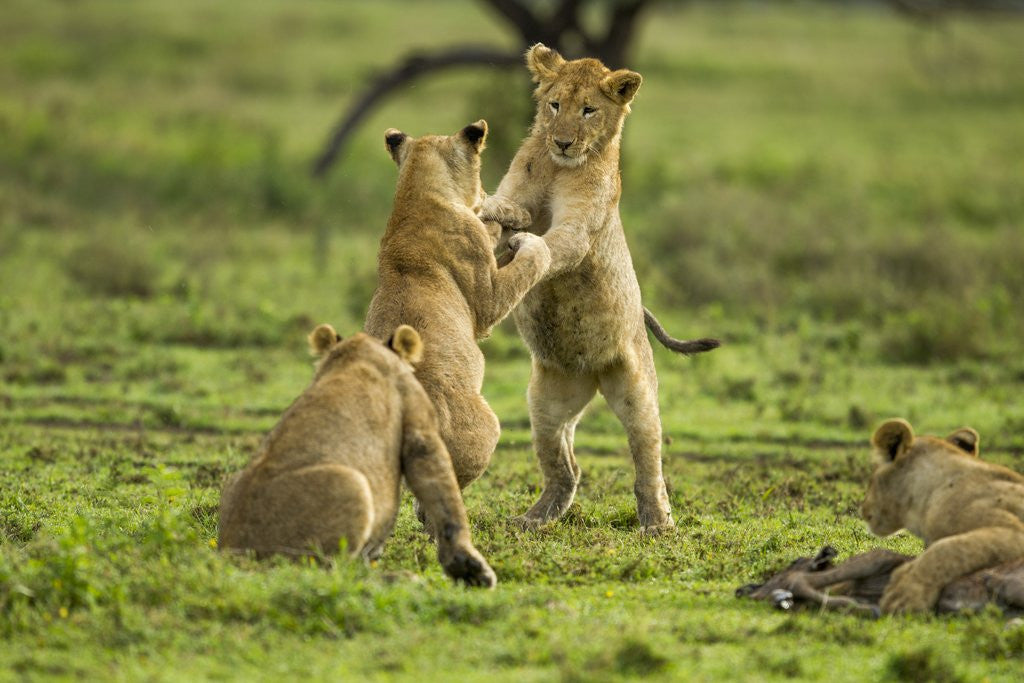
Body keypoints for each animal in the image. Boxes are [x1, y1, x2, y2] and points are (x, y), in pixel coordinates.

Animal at [217, 323, 496, 588]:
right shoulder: (420, 427)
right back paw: (401, 578)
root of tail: (232, 554)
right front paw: (470, 568)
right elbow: (446, 501)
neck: (356, 356)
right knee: (332, 573)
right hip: (351, 483)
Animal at [478, 44, 719, 532]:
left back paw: (658, 523)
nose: (563, 141)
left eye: (588, 110)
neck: (557, 167)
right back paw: (534, 519)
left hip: (636, 392)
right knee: (567, 467)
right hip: (546, 403)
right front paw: (487, 211)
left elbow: (555, 245)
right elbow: (505, 207)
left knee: (649, 461)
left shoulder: (579, 226)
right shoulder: (520, 190)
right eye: (555, 105)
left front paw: (527, 245)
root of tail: (589, 372)